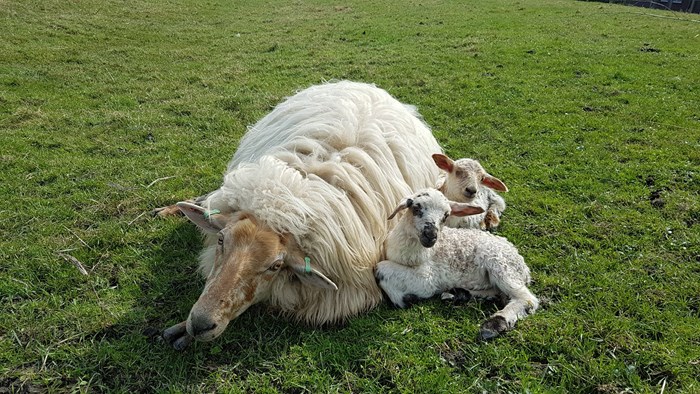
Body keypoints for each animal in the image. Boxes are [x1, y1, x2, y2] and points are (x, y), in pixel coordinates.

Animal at [374, 189, 540, 340]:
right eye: (416, 208)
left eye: (446, 216)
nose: (431, 235)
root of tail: (524, 268)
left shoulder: (428, 278)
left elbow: (380, 268)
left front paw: (407, 299)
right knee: (497, 293)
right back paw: (458, 294)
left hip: (502, 266)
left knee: (526, 299)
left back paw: (494, 324)